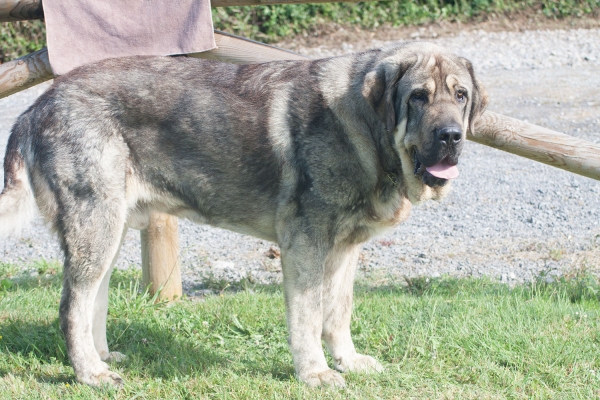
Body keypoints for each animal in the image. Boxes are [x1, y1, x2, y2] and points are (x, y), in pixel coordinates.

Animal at [0, 41, 488, 388]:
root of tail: (36, 106)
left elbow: (338, 312)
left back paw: (102, 358)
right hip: (95, 224)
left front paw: (348, 361)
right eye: (418, 97)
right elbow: (308, 315)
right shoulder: (305, 243)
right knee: (71, 306)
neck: (367, 129)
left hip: (109, 227)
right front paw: (315, 373)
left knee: (93, 300)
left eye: (461, 95)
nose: (451, 136)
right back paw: (90, 374)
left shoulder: (345, 249)